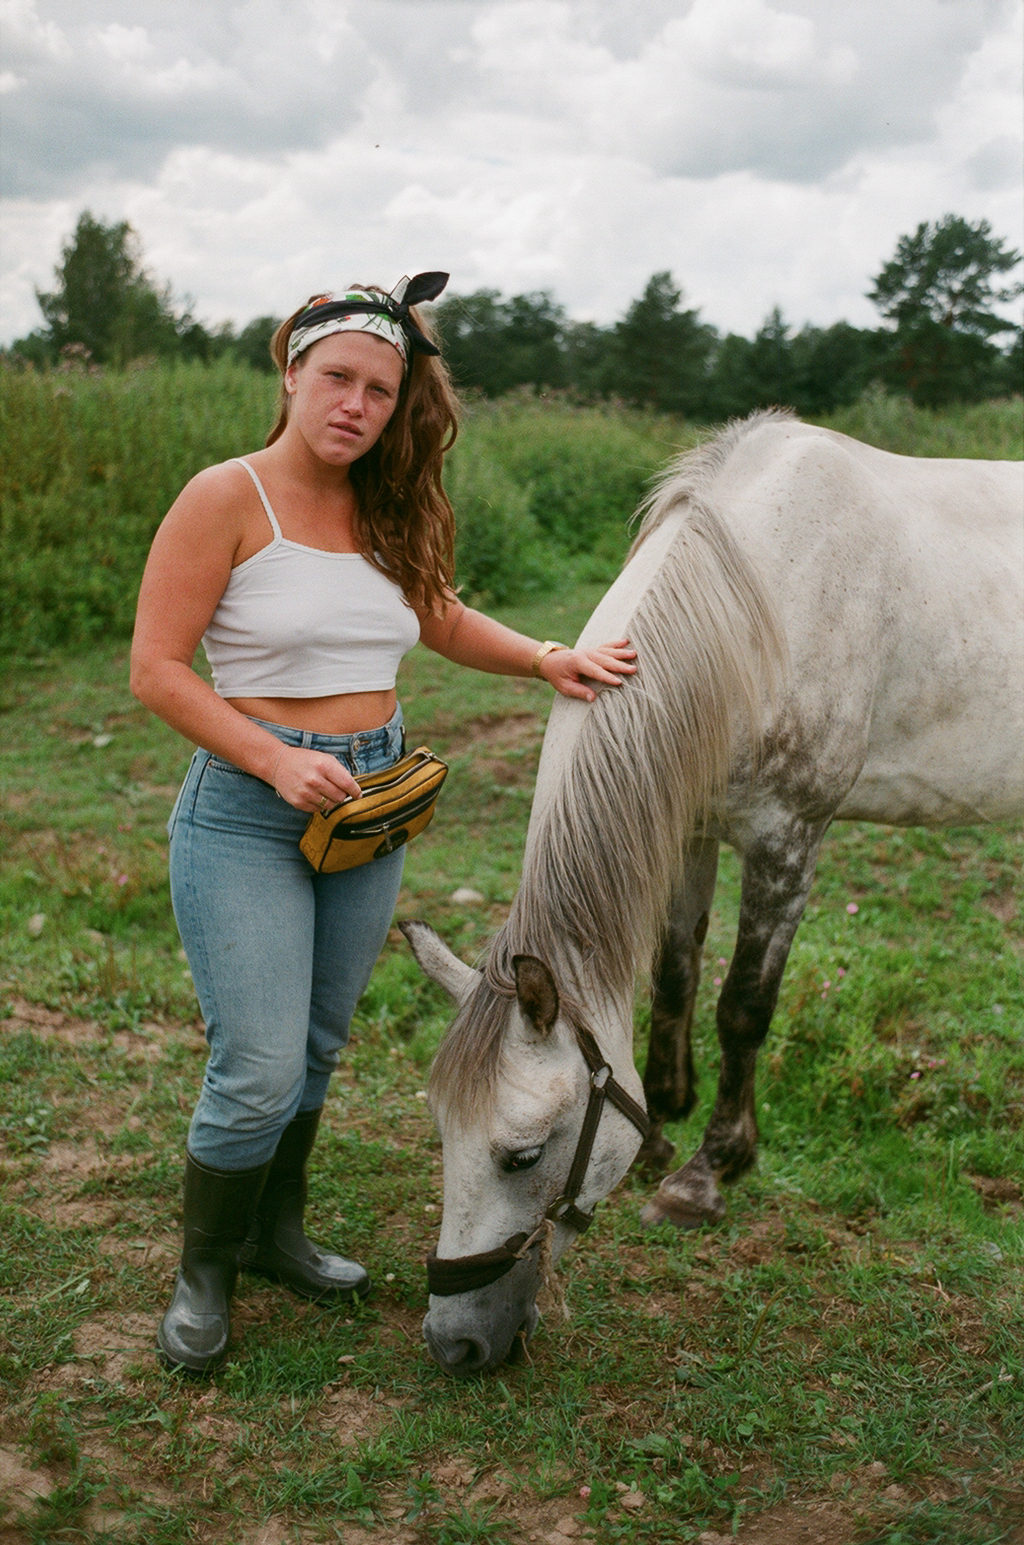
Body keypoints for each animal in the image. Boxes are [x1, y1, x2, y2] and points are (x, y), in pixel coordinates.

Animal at [401, 407, 1024, 1378]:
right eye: (440, 1132)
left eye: (522, 1155)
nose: (454, 1342)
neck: (760, 603)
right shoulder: (688, 828)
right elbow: (673, 978)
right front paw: (662, 1126)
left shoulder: (786, 841)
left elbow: (741, 1006)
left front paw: (707, 1172)